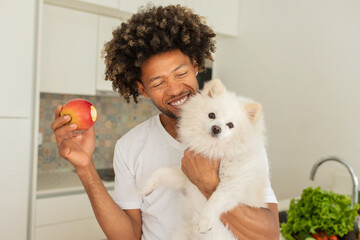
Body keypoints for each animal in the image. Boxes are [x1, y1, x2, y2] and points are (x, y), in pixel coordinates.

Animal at [142, 79, 268, 240]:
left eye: (230, 125)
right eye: (212, 115)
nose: (216, 128)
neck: (213, 149)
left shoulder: (234, 184)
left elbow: (216, 199)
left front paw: (204, 221)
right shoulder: (186, 177)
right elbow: (161, 171)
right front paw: (147, 187)